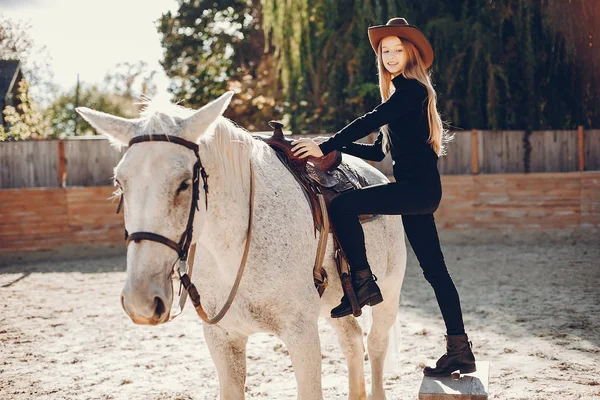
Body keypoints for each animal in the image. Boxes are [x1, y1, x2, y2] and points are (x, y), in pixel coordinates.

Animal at [76, 92, 408, 398]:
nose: (141, 300)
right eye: (120, 182)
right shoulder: (223, 339)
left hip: (389, 295)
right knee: (351, 340)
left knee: (375, 345)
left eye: (184, 183)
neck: (235, 248)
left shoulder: (301, 335)